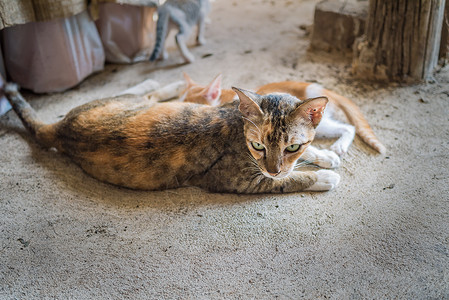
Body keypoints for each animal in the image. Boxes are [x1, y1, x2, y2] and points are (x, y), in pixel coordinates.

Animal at [3, 83, 340, 193]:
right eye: (258, 145)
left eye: (292, 145)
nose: (274, 168)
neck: (235, 123)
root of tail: (61, 127)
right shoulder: (235, 179)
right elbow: (286, 181)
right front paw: (324, 177)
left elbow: (304, 159)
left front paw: (325, 155)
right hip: (123, 100)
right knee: (144, 89)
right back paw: (167, 83)